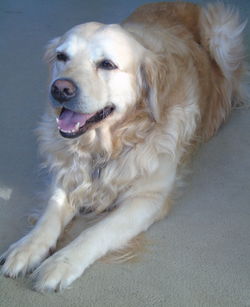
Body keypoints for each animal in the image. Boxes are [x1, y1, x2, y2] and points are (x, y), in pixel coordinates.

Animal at [0, 2, 248, 292]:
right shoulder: (67, 172)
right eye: (62, 56)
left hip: (221, 34)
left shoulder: (148, 198)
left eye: (107, 64)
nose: (60, 88)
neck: (105, 146)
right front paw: (27, 247)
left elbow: (97, 231)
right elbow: (50, 213)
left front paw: (61, 262)